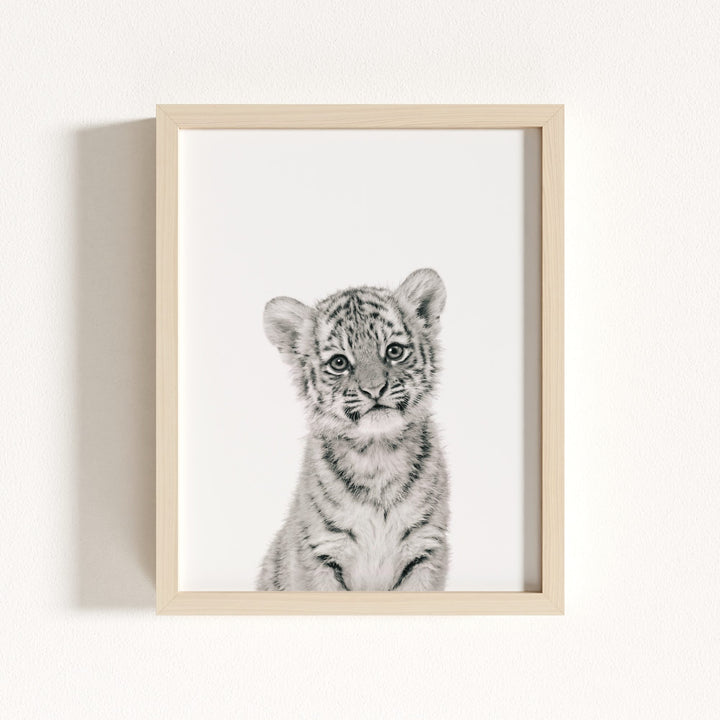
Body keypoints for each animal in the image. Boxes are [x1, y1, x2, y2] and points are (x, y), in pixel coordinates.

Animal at [256, 268, 449, 591]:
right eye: (339, 362)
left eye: (394, 351)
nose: (374, 389)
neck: (378, 454)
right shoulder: (320, 553)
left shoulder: (426, 549)